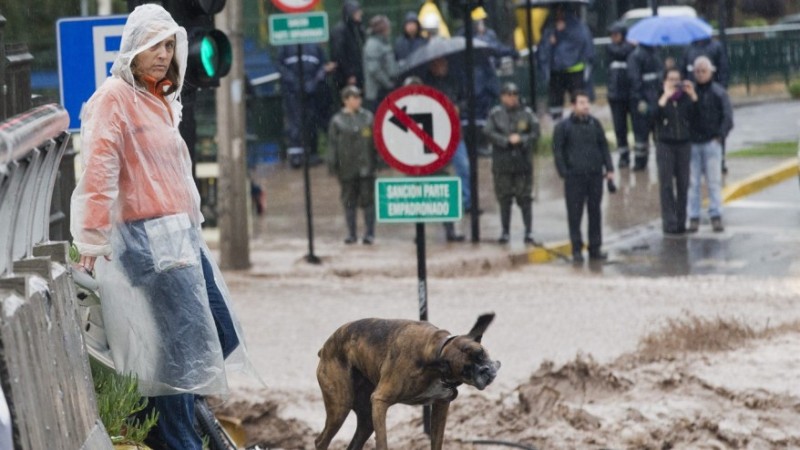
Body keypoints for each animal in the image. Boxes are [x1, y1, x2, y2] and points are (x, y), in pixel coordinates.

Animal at [314, 312, 496, 450]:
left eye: (481, 353)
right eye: (465, 370)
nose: (485, 370)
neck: (437, 350)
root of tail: (325, 347)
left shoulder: (441, 405)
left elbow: (436, 442)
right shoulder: (380, 401)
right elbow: (382, 443)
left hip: (366, 419)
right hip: (340, 407)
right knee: (321, 441)